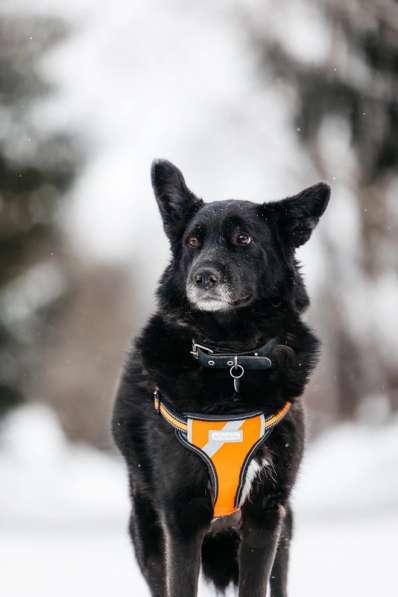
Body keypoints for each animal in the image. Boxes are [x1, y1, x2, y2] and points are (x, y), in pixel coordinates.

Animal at [112, 159, 330, 596]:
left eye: (243, 238)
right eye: (193, 241)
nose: (203, 277)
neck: (231, 356)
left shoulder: (266, 514)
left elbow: (255, 585)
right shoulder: (181, 520)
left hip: (285, 530)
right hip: (147, 532)